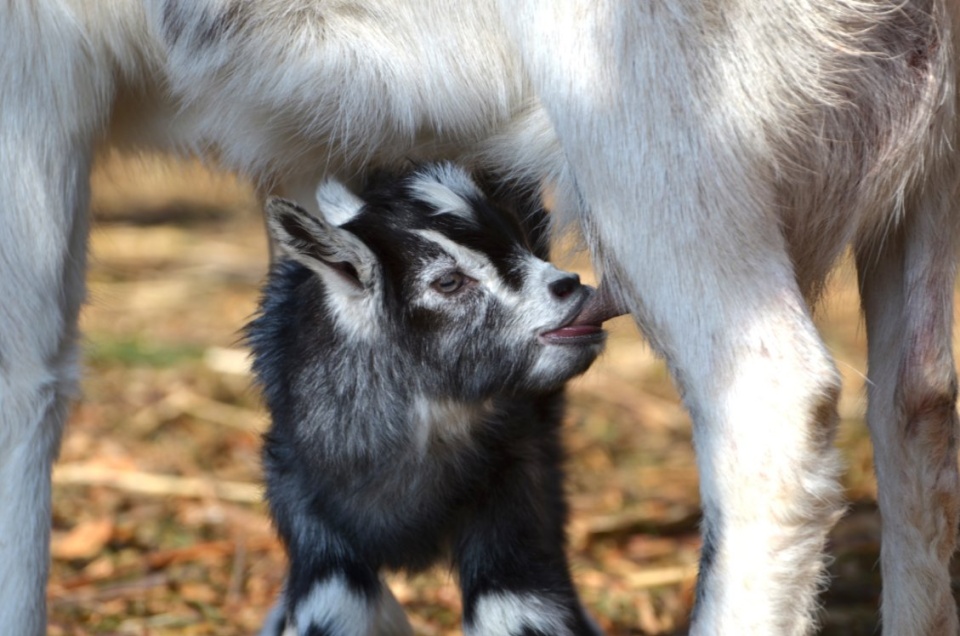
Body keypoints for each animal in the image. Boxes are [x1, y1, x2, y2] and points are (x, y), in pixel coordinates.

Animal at [248, 164, 620, 636]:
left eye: (518, 238)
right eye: (448, 281)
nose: (570, 285)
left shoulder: (513, 480)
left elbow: (516, 603)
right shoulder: (304, 501)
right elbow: (334, 601)